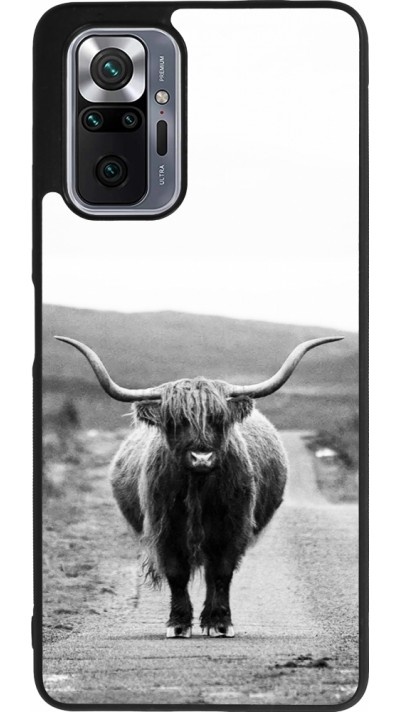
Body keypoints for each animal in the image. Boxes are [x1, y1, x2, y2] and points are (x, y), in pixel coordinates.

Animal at [55, 334, 341, 638]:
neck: (198, 488)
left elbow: (222, 573)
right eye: (175, 421)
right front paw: (178, 623)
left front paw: (220, 622)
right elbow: (176, 574)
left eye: (218, 419)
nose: (201, 457)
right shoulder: (165, 528)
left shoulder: (233, 527)